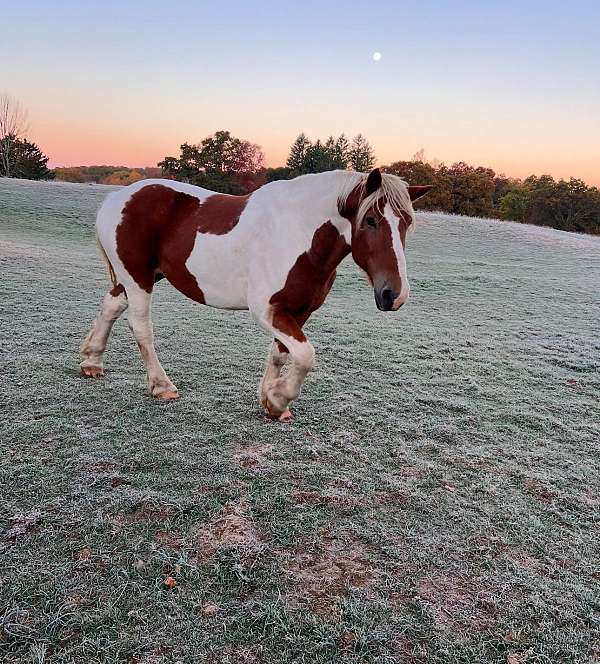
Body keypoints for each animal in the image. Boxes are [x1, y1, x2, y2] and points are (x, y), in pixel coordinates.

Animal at [80, 168, 431, 420]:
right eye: (370, 220)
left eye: (406, 224)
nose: (394, 294)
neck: (298, 234)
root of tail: (119, 197)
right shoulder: (267, 310)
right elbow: (306, 355)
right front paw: (278, 398)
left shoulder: (298, 310)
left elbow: (282, 353)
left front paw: (271, 401)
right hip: (138, 278)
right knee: (141, 327)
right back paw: (161, 385)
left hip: (142, 277)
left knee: (111, 305)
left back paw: (92, 361)